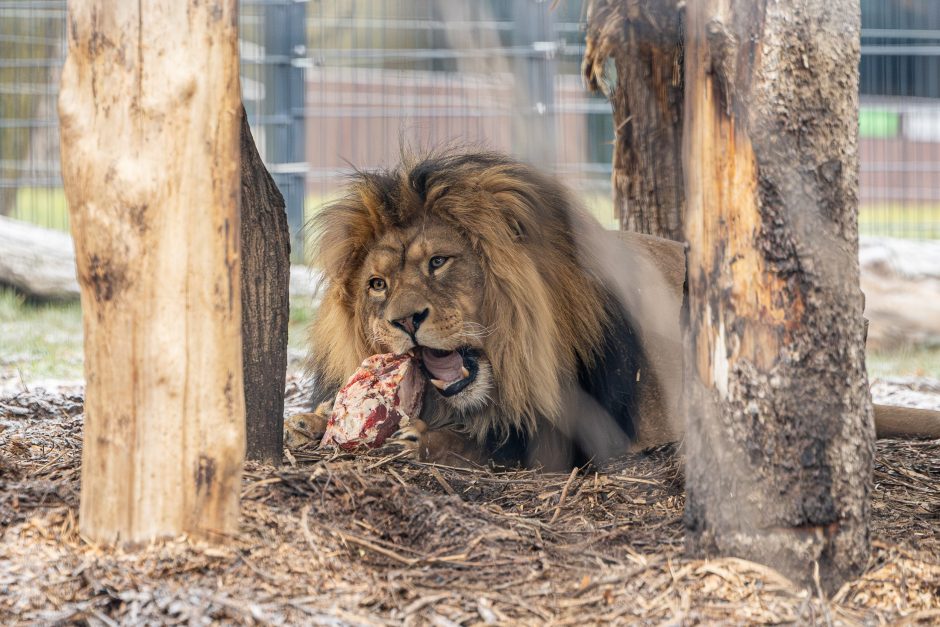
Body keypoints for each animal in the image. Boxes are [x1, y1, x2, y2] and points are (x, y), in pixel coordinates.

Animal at [298, 150, 940, 468]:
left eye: (438, 262)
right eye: (377, 284)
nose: (404, 321)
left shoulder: (589, 432)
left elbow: (504, 442)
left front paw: (426, 442)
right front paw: (311, 420)